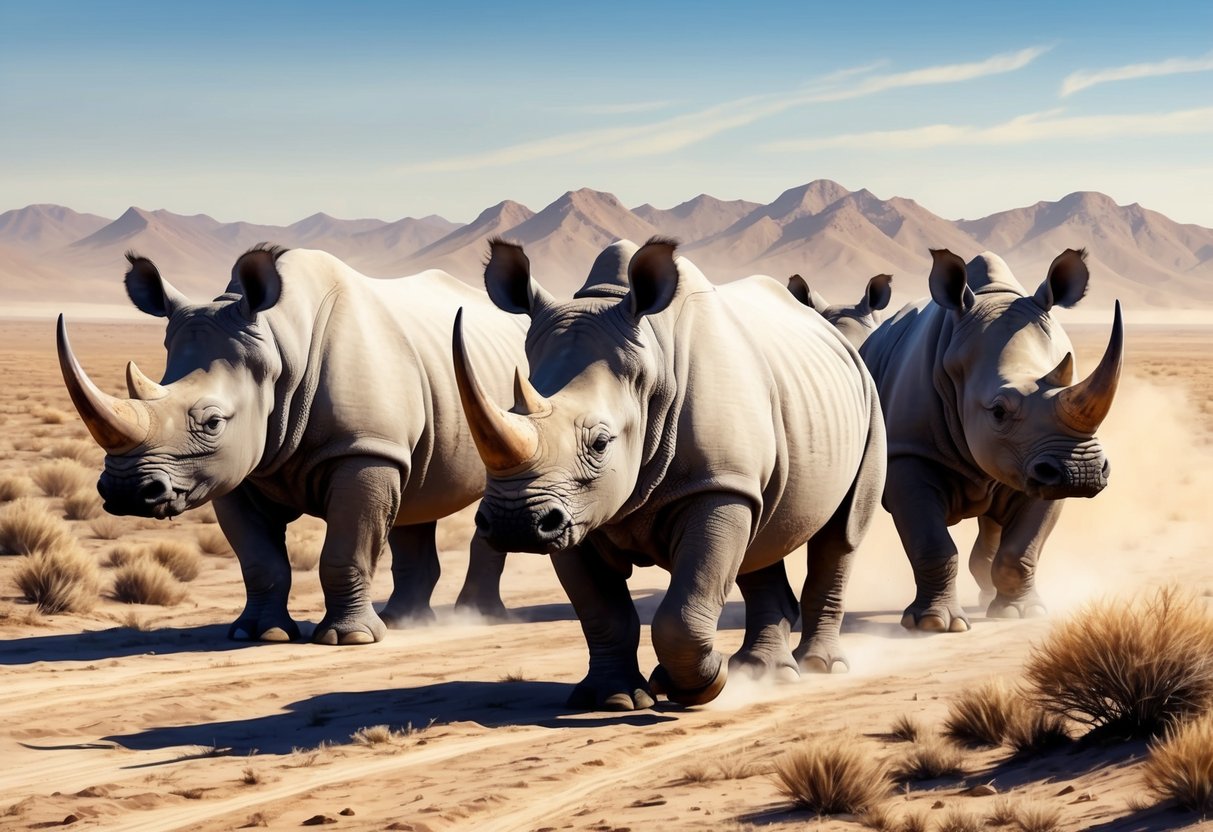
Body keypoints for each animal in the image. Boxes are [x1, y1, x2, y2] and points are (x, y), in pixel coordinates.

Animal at [59, 244, 528, 650]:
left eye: (212, 422)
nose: (126, 491)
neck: (280, 348)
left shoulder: (362, 449)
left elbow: (345, 549)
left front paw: (349, 640)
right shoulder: (237, 468)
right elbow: (260, 562)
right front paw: (258, 634)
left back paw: (477, 618)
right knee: (417, 494)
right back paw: (403, 621)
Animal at [451, 237, 887, 713]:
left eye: (600, 443)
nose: (512, 522)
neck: (653, 369)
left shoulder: (714, 485)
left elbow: (685, 603)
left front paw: (697, 685)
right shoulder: (573, 508)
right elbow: (600, 611)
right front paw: (614, 699)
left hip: (868, 399)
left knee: (841, 533)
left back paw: (818, 668)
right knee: (761, 532)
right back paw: (762, 672)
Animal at [858, 247, 1120, 630]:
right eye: (998, 411)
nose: (1083, 472)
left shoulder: (1044, 462)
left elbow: (1022, 548)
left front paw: (1021, 613)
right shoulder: (908, 452)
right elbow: (932, 544)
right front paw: (933, 625)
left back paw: (987, 595)